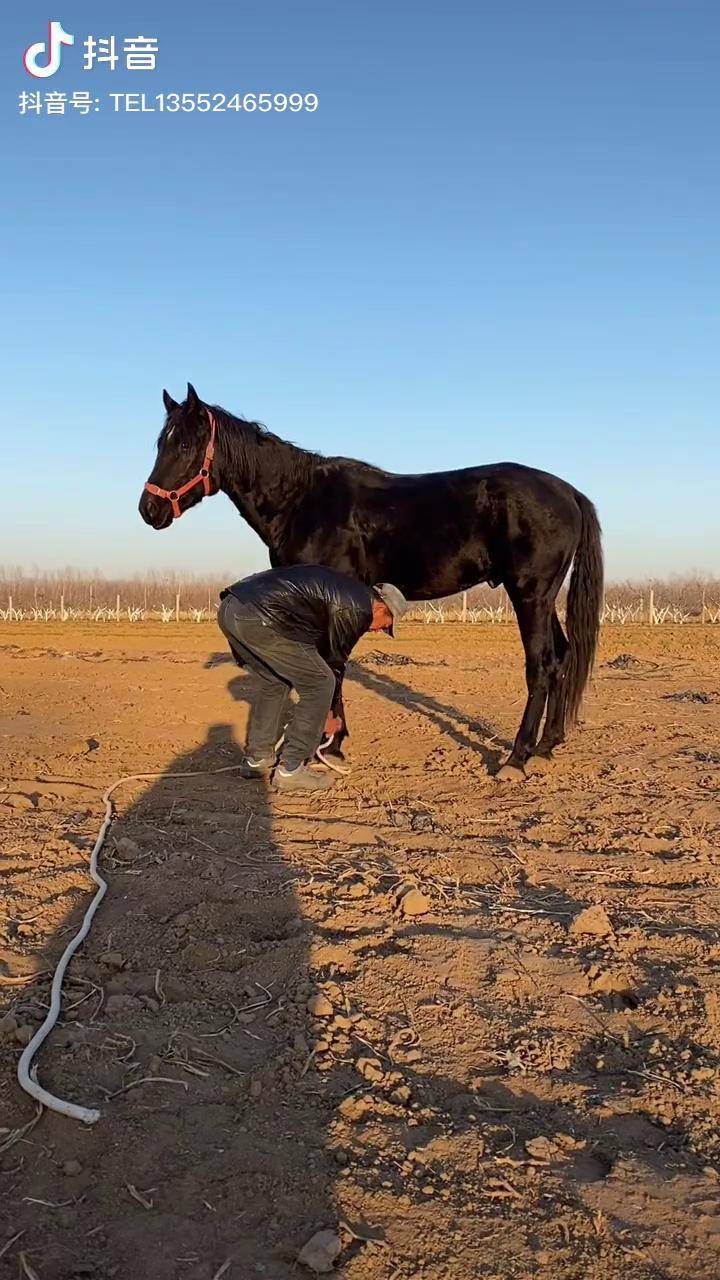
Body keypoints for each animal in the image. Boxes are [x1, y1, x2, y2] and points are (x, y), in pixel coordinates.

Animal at [139, 384, 603, 781]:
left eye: (185, 444)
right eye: (161, 442)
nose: (148, 510)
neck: (302, 499)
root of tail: (569, 493)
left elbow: (333, 667)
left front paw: (331, 745)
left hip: (529, 594)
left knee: (541, 665)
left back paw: (516, 758)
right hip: (542, 597)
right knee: (563, 658)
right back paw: (546, 746)